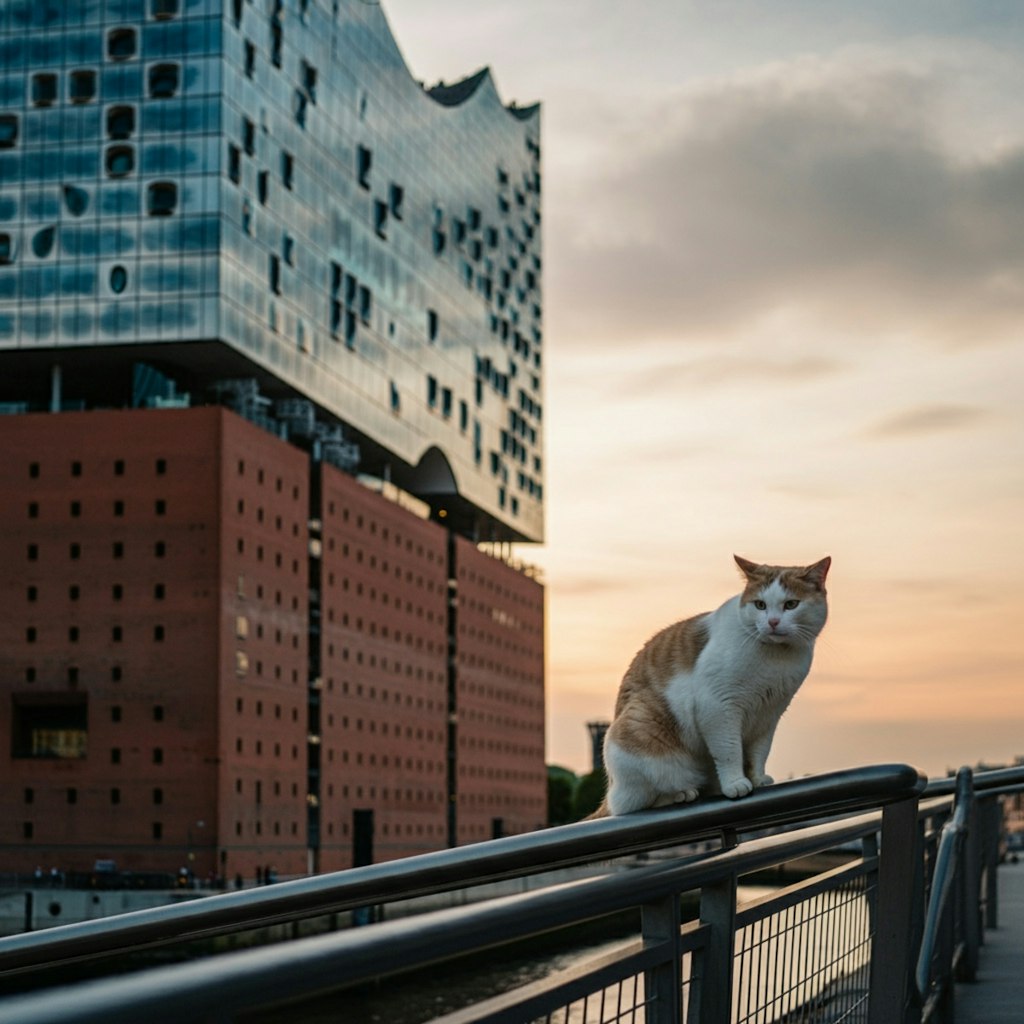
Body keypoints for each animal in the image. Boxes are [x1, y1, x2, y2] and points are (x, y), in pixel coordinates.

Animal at [593, 552, 831, 815]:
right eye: (760, 605)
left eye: (791, 604)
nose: (773, 622)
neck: (777, 659)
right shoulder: (718, 707)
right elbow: (729, 751)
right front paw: (736, 784)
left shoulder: (769, 714)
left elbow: (759, 752)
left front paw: (758, 778)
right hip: (639, 728)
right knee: (634, 802)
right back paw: (681, 794)